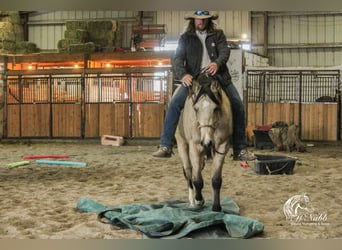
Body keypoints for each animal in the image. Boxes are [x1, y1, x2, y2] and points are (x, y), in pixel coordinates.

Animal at [175, 72, 234, 211]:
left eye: (215, 108)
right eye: (196, 109)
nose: (207, 142)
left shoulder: (222, 146)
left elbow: (216, 179)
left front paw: (216, 207)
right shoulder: (195, 146)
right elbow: (197, 180)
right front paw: (198, 200)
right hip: (182, 146)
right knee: (189, 172)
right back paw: (192, 201)